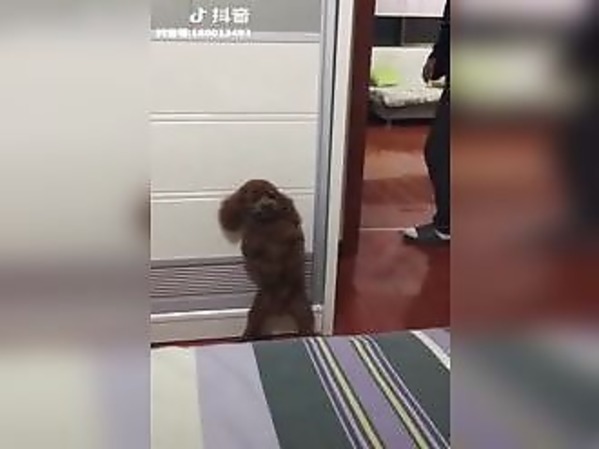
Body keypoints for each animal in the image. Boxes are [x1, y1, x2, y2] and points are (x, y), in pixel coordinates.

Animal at [219, 179, 315, 340]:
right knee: (252, 323)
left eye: (271, 195)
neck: (266, 221)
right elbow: (251, 243)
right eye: (254, 198)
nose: (267, 205)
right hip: (259, 307)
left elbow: (290, 228)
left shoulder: (287, 222)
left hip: (301, 306)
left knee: (306, 322)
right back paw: (244, 338)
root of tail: (280, 309)